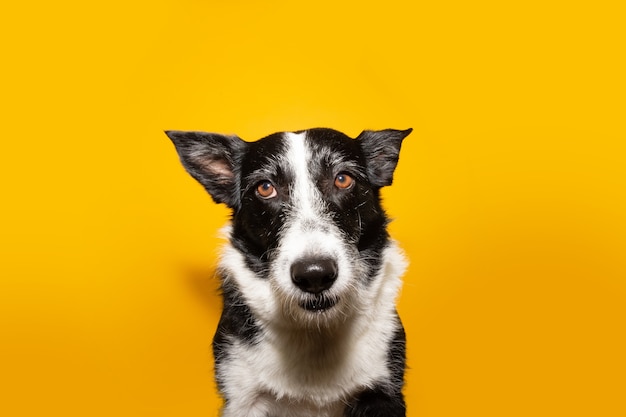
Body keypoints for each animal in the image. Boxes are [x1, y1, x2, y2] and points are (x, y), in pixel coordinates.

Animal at [165, 127, 410, 416]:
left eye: (342, 179)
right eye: (265, 187)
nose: (314, 275)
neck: (315, 331)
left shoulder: (383, 392)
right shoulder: (243, 397)